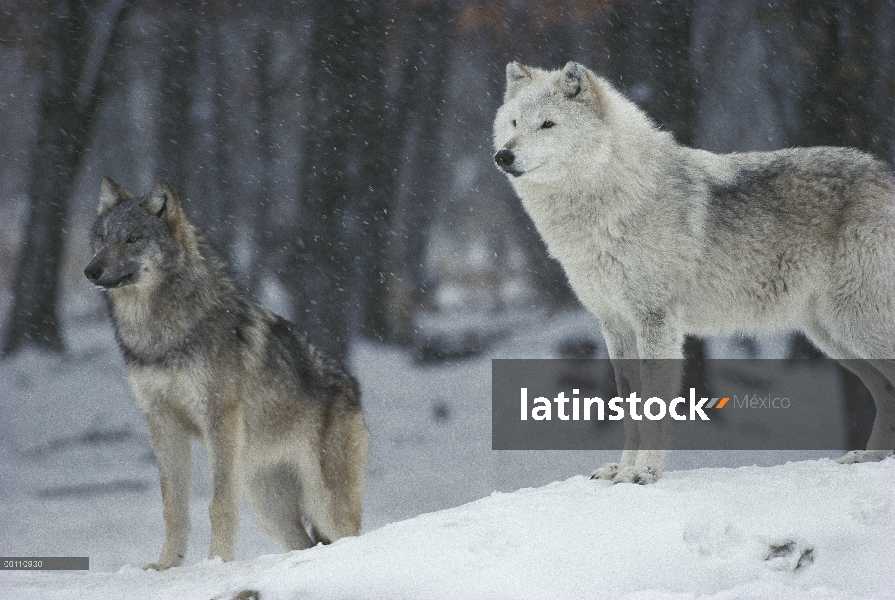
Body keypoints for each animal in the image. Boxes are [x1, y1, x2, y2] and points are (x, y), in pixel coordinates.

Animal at [81, 176, 368, 568]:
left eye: (133, 238)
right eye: (102, 237)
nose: (90, 270)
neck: (160, 333)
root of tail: (354, 391)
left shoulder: (219, 418)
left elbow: (219, 506)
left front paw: (217, 561)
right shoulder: (161, 421)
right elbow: (173, 508)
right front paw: (166, 565)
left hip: (325, 504)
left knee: (349, 537)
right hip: (269, 508)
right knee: (306, 544)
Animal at [494, 61, 895, 482]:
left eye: (548, 124)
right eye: (514, 122)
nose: (503, 155)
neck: (614, 201)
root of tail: (885, 174)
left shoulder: (655, 321)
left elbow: (653, 407)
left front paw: (643, 473)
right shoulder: (615, 324)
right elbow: (629, 408)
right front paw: (621, 471)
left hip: (856, 325)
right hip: (833, 336)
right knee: (886, 394)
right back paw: (868, 458)